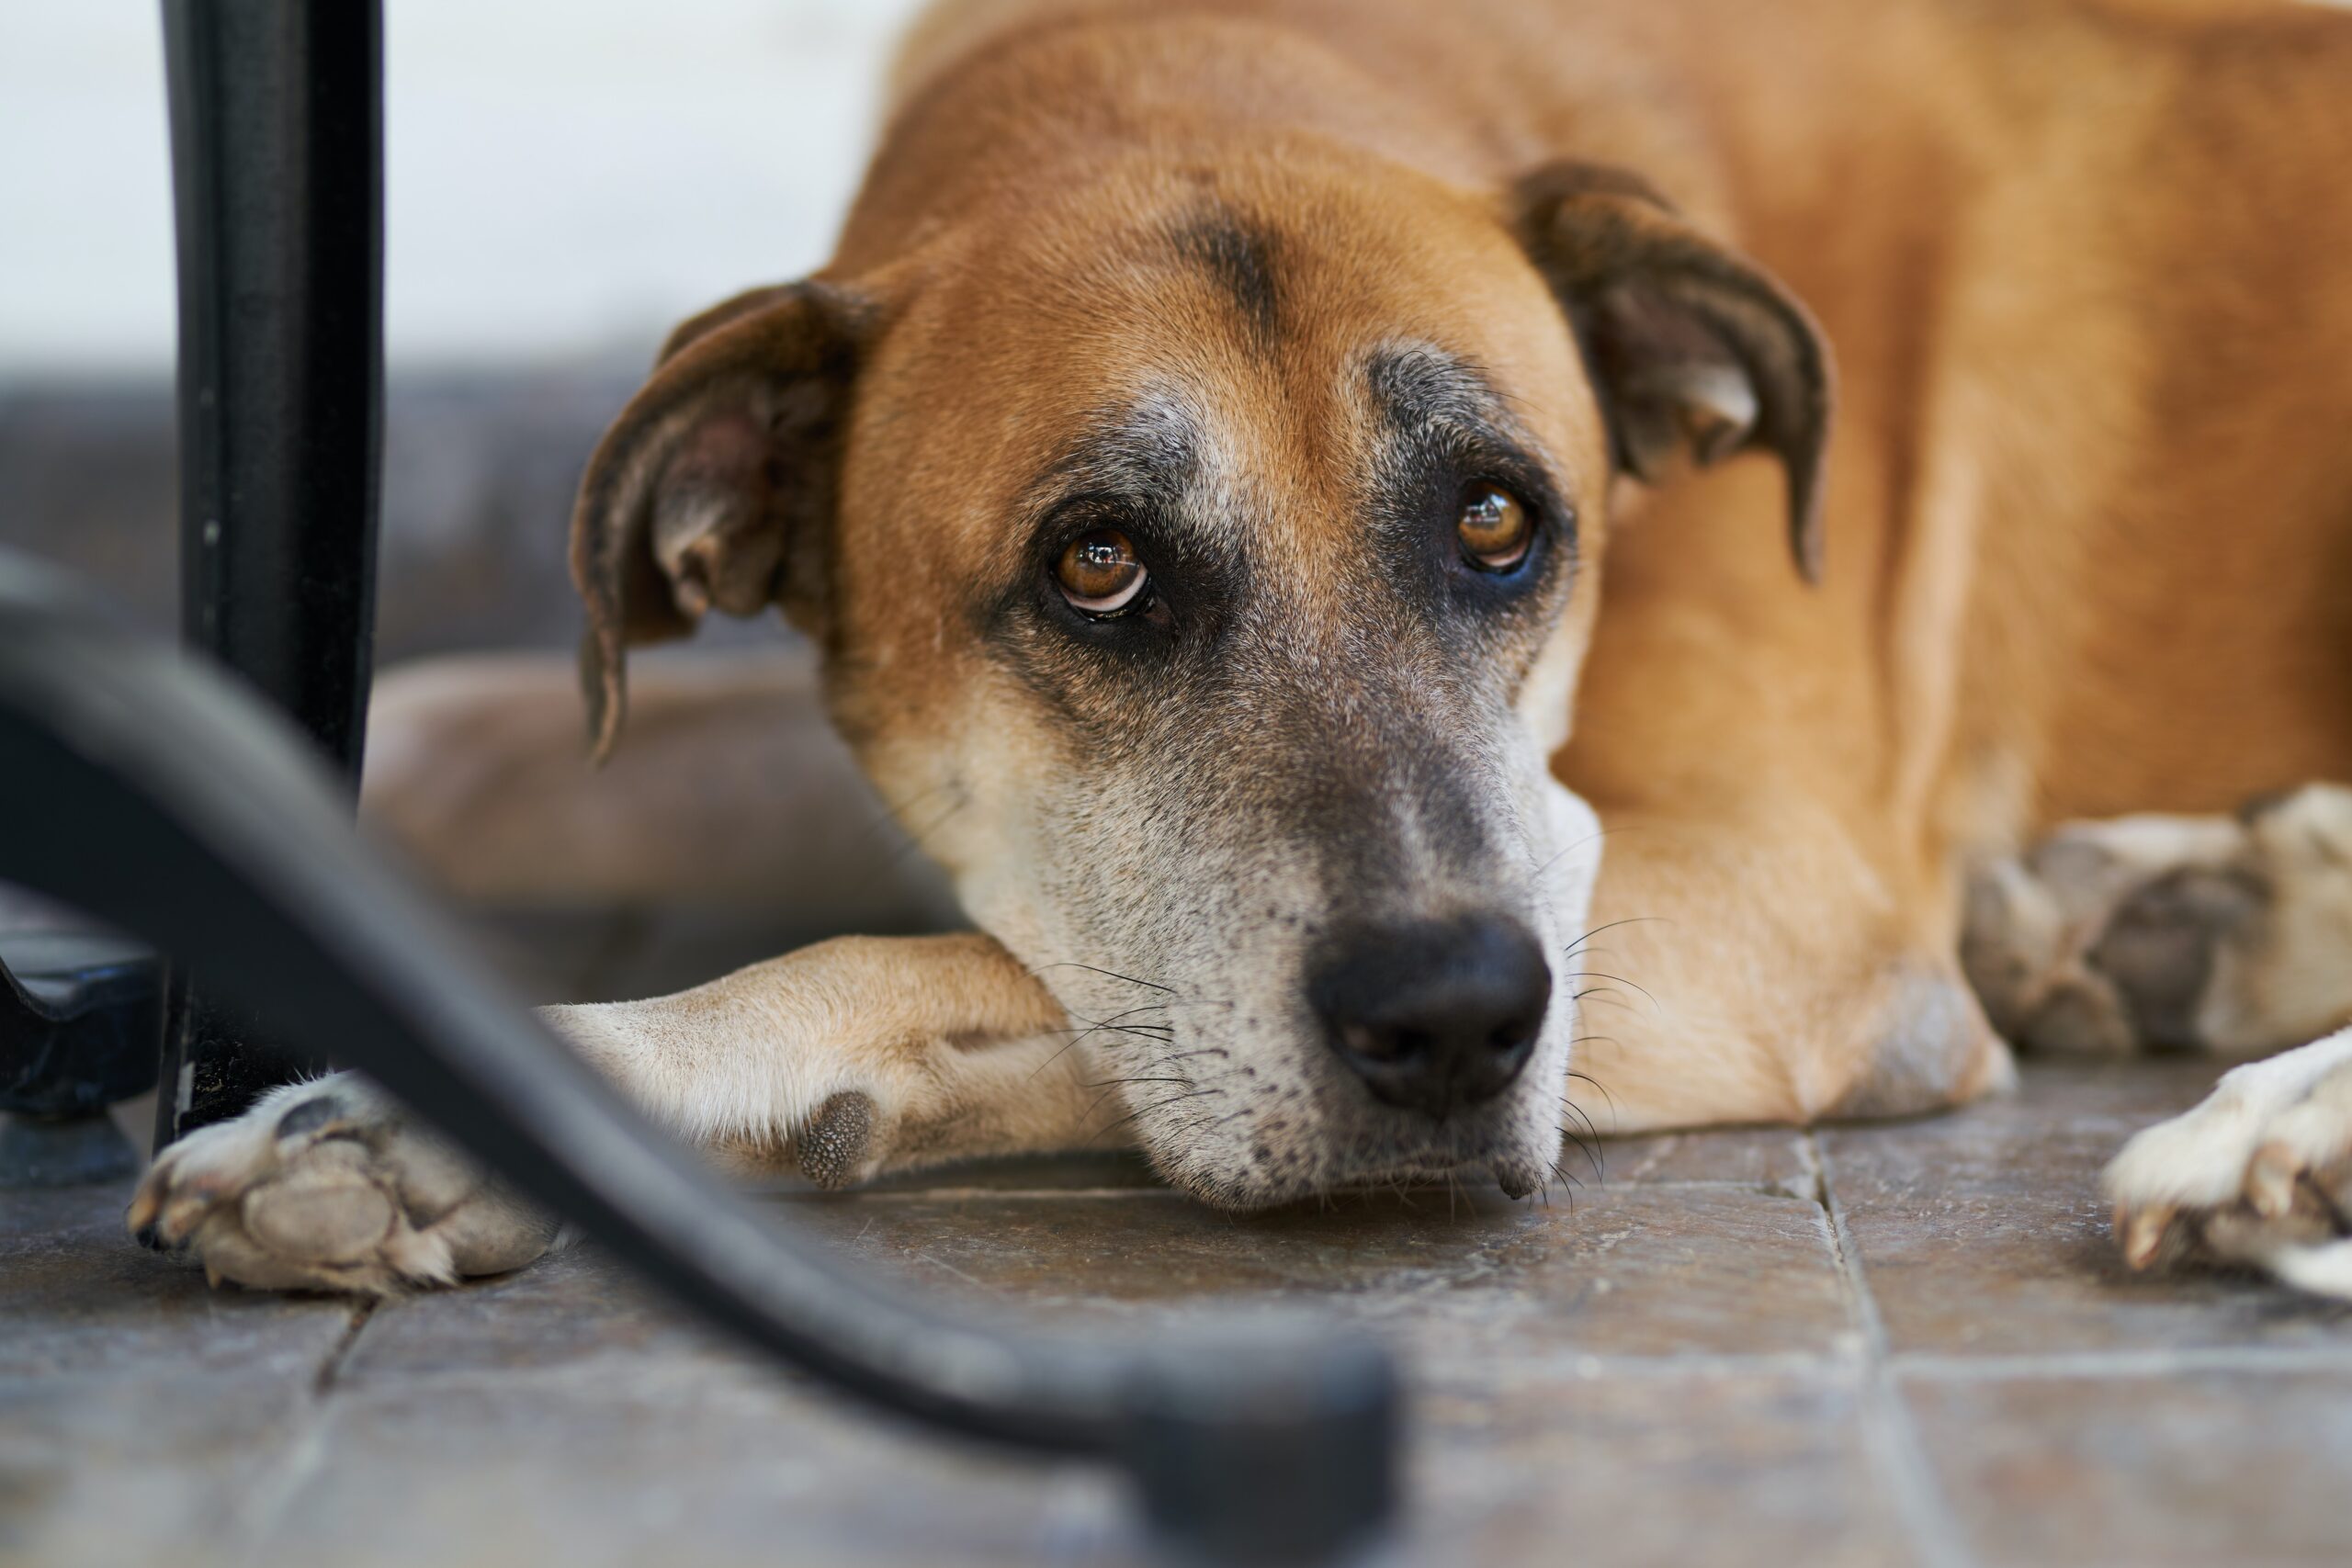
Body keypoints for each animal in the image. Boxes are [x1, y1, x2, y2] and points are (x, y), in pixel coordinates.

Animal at [124, 0, 2352, 1297]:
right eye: (1098, 563)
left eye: (1499, 520)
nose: (1453, 1020)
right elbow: (448, 741)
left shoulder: (1778, 902)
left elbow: (965, 969)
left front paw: (465, 1111)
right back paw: (2191, 913)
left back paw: (2280, 1112)